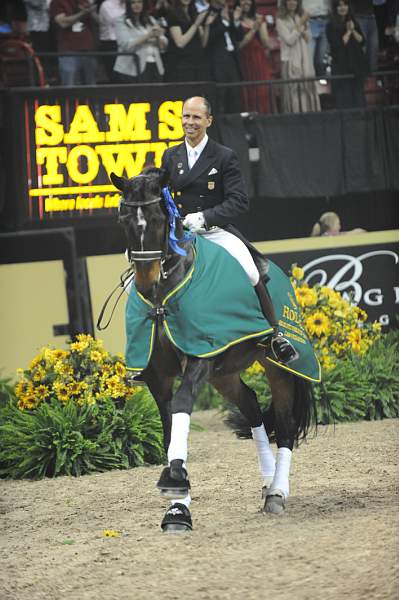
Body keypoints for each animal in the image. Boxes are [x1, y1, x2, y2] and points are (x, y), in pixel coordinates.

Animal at [111, 166, 318, 532]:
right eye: (123, 219)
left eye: (158, 218)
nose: (146, 284)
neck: (163, 298)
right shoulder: (159, 376)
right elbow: (170, 427)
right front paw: (178, 503)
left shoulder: (199, 358)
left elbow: (182, 405)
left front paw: (176, 484)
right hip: (224, 373)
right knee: (251, 406)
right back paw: (267, 481)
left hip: (277, 367)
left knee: (285, 424)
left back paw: (277, 491)